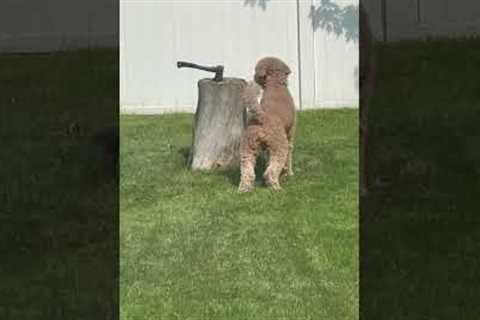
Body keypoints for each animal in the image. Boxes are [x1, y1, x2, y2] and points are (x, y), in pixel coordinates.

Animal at [237, 56, 294, 191]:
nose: (254, 76)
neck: (275, 85)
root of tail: (262, 119)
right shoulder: (291, 131)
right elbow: (290, 152)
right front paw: (289, 173)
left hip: (247, 148)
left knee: (247, 172)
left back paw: (244, 189)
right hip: (280, 146)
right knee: (270, 172)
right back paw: (276, 188)